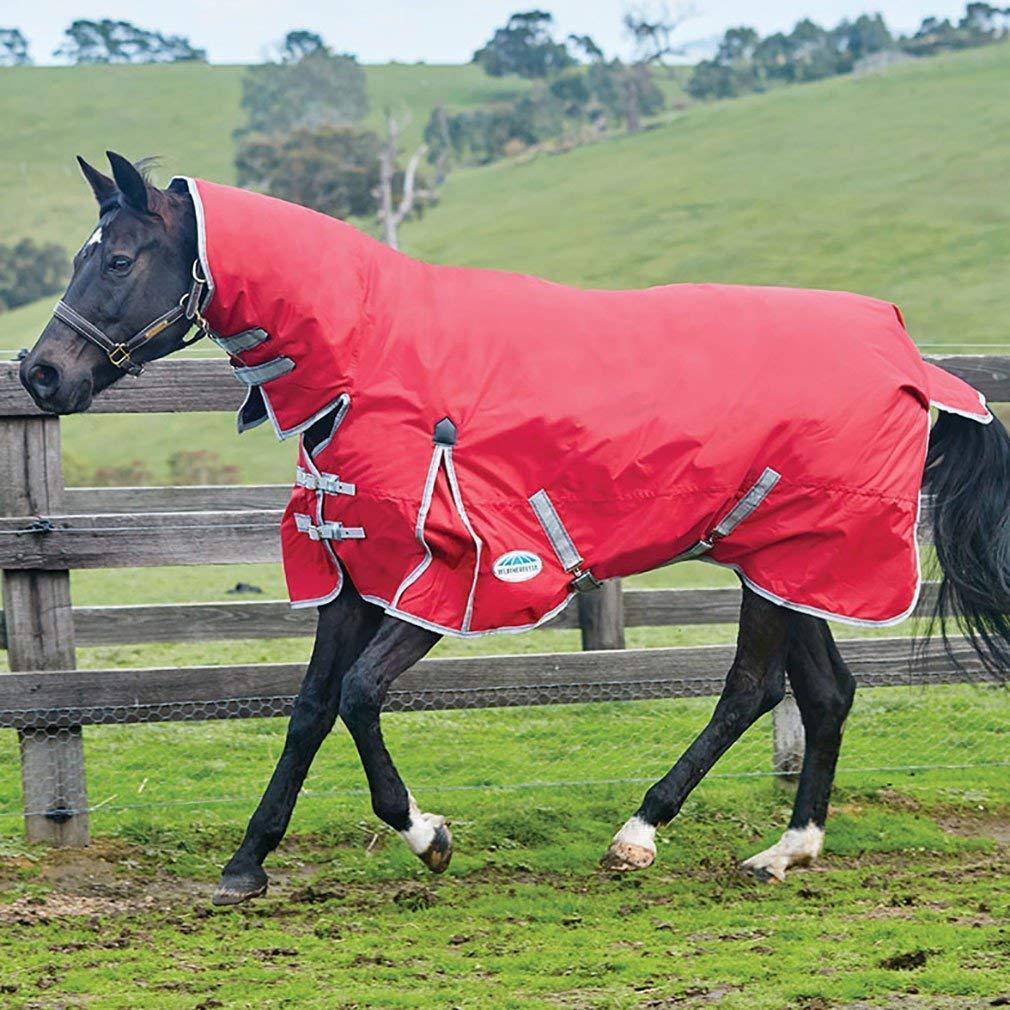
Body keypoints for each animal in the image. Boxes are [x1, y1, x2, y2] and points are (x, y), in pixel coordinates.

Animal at [17, 153, 1010, 904]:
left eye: (117, 260)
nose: (40, 374)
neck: (370, 361)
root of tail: (908, 355)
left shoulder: (452, 580)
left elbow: (359, 698)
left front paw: (427, 835)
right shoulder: (355, 577)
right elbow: (307, 712)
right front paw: (246, 864)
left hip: (794, 559)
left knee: (755, 689)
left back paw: (640, 835)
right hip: (782, 561)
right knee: (818, 691)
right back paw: (784, 849)